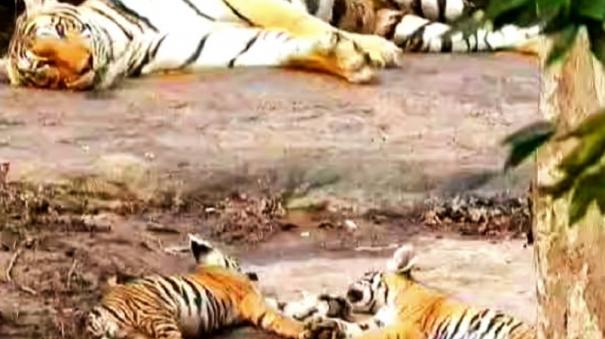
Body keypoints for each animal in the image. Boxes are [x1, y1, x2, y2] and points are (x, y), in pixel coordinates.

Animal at [85, 235, 310, 339]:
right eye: (237, 261)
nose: (254, 275)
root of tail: (96, 314)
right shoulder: (252, 301)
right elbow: (281, 317)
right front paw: (305, 329)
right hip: (158, 317)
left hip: (134, 333)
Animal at [290, 244, 532, 339]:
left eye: (365, 273)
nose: (347, 285)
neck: (389, 300)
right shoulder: (381, 319)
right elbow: (355, 327)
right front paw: (325, 326)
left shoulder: (409, 327)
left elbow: (372, 335)